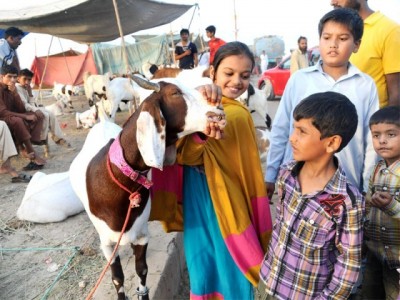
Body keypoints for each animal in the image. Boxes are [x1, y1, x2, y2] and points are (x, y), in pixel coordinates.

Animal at [69, 75, 225, 300]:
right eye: (175, 93)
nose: (219, 108)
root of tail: (104, 121)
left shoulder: (142, 235)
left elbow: (141, 270)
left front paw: (143, 293)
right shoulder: (107, 244)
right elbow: (117, 278)